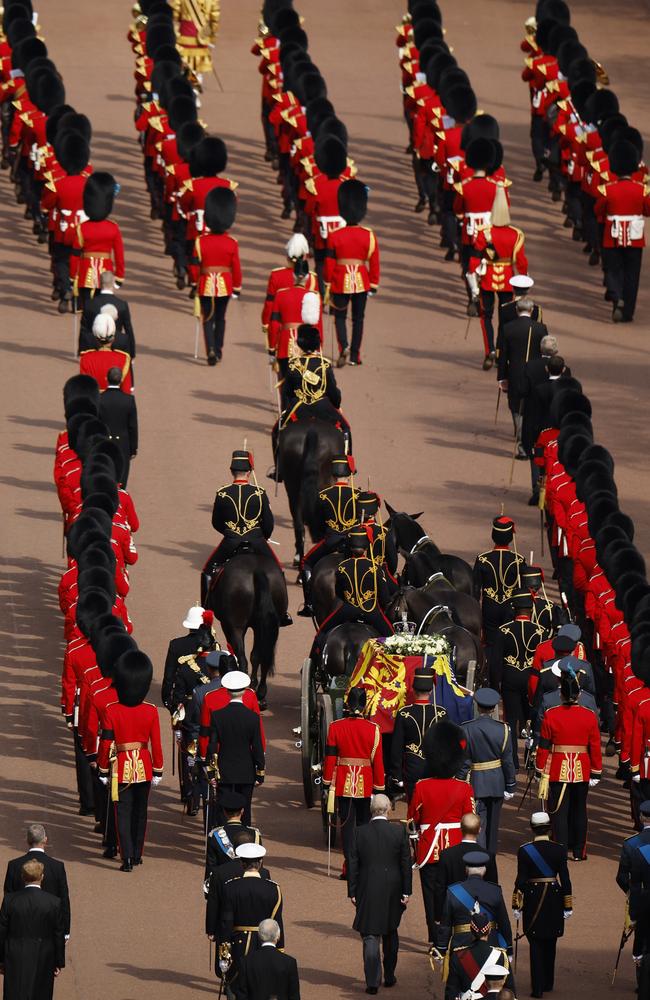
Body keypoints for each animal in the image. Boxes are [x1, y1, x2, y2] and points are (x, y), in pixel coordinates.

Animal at [205, 556, 286, 712]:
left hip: (235, 627)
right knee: (262, 658)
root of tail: (257, 570)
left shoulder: (228, 626)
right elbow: (257, 656)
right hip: (266, 628)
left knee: (242, 658)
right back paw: (259, 694)